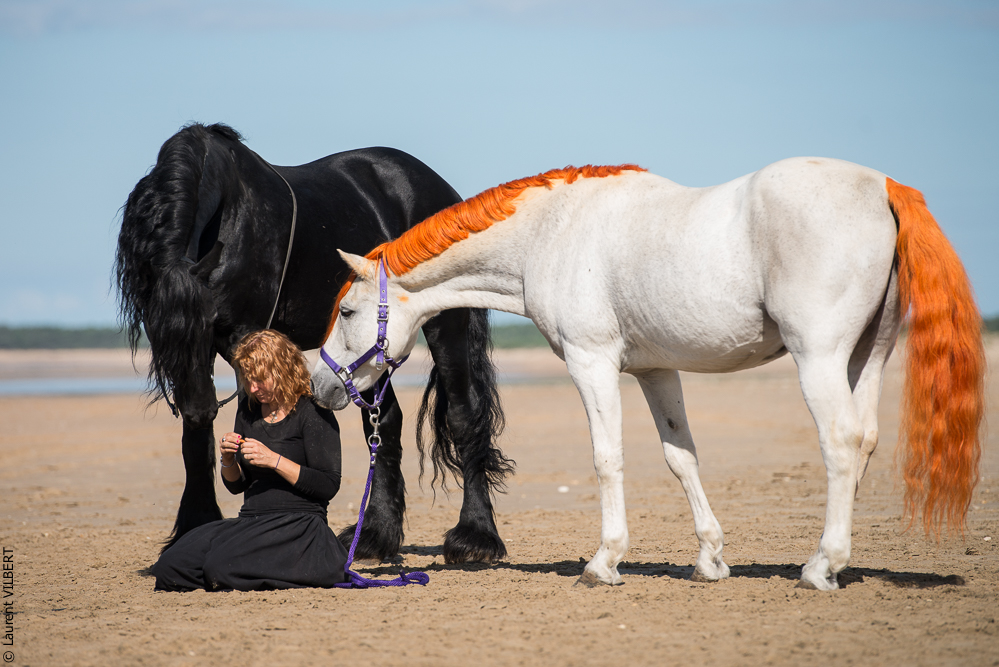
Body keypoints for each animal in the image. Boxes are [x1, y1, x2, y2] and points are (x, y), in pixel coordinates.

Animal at [115, 123, 513, 564]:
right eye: (158, 333)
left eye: (200, 325)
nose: (201, 408)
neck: (231, 215)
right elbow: (195, 440)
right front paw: (195, 525)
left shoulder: (244, 335)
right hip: (365, 355)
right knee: (384, 422)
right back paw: (376, 536)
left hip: (445, 327)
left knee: (463, 414)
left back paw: (475, 536)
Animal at [312, 158, 985, 591]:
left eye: (347, 311)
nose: (321, 386)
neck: (553, 232)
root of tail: (883, 187)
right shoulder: (657, 370)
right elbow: (680, 456)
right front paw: (710, 560)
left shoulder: (591, 362)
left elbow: (607, 458)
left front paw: (604, 562)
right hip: (867, 356)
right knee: (865, 438)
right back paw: (837, 562)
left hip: (819, 356)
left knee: (841, 443)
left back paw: (821, 567)